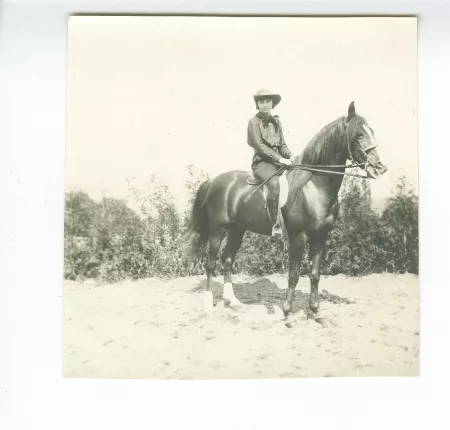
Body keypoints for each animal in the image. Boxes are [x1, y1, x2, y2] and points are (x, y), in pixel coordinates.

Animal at [183, 102, 386, 326]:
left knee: (227, 260)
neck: (314, 186)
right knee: (210, 264)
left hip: (237, 230)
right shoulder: (298, 237)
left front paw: (315, 312)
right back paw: (209, 306)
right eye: (359, 134)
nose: (380, 167)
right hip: (217, 230)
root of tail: (214, 181)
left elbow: (314, 274)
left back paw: (233, 302)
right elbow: (294, 275)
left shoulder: (320, 236)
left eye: (371, 131)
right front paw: (288, 313)